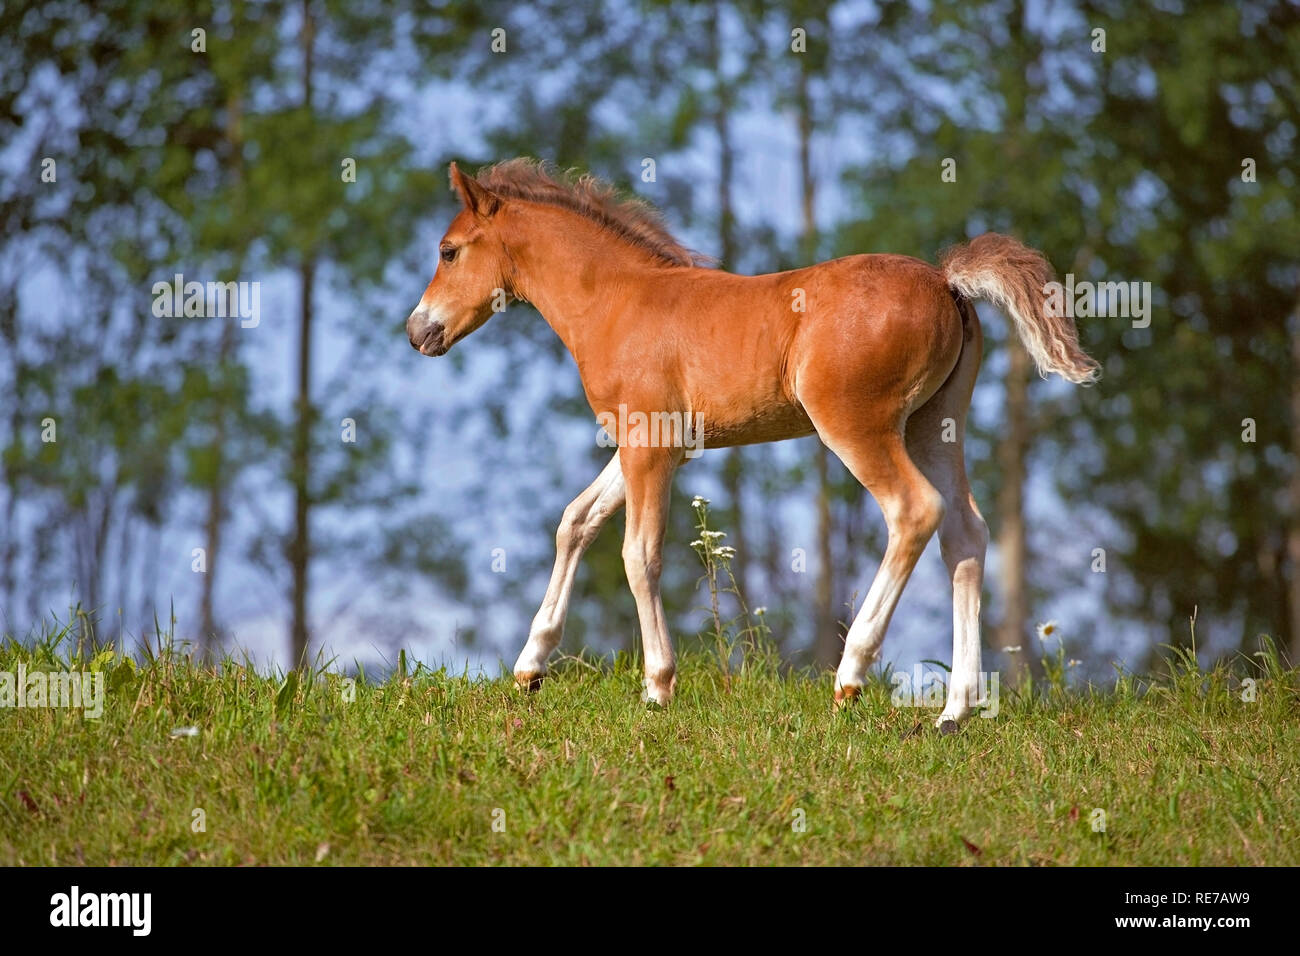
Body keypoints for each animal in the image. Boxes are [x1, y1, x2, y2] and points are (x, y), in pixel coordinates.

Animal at [406, 159, 1098, 729]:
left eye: (448, 251)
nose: (417, 331)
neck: (614, 300)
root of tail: (947, 281)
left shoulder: (648, 447)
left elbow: (639, 554)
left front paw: (658, 687)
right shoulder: (651, 442)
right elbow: (575, 522)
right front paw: (531, 666)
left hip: (857, 425)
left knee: (914, 510)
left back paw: (851, 676)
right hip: (935, 424)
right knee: (966, 532)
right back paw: (955, 710)